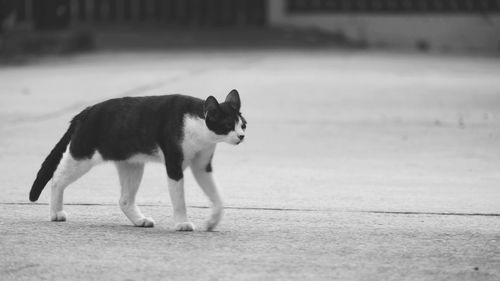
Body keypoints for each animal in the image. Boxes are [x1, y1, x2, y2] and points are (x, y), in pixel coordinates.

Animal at [28, 89, 246, 230]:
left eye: (243, 125)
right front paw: (182, 223)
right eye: (228, 125)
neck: (199, 129)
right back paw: (56, 213)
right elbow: (179, 199)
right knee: (57, 178)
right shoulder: (174, 165)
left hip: (131, 165)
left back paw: (140, 220)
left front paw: (212, 222)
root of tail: (86, 111)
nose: (242, 136)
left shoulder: (202, 167)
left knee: (124, 200)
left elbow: (217, 197)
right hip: (82, 156)